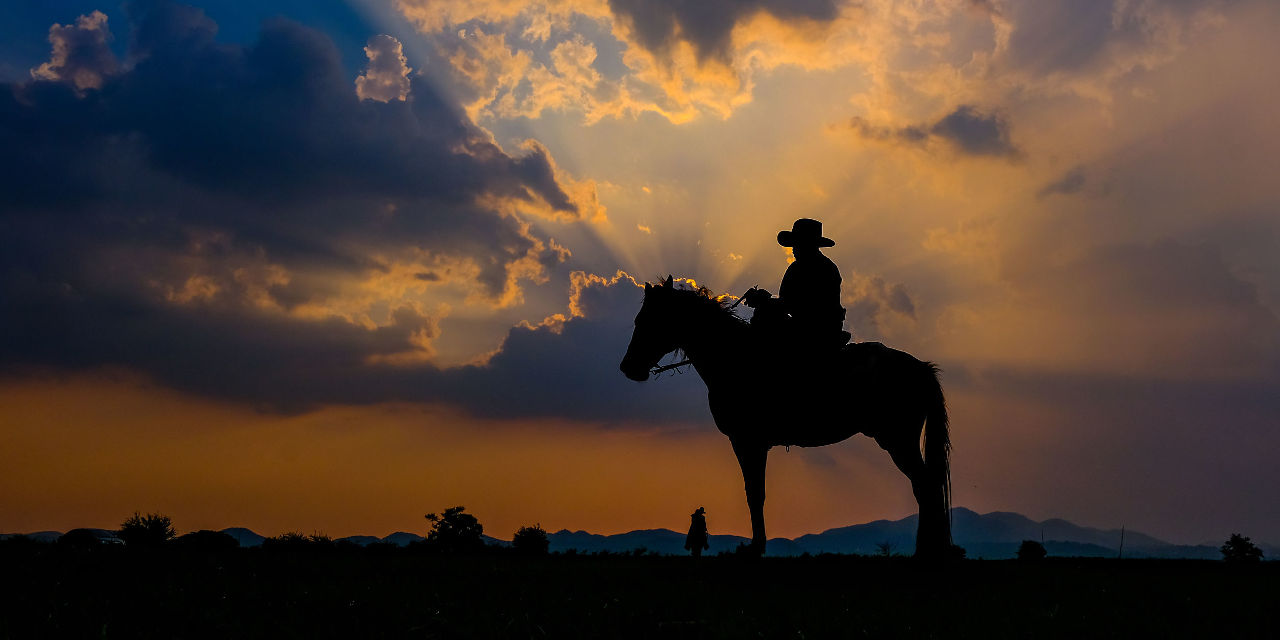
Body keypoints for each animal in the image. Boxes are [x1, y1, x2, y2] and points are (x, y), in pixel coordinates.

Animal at [619, 277, 952, 558]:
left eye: (647, 320)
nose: (628, 368)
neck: (734, 357)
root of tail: (922, 368)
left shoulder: (747, 441)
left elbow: (755, 493)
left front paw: (755, 548)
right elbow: (755, 492)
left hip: (898, 439)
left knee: (926, 486)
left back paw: (926, 552)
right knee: (926, 487)